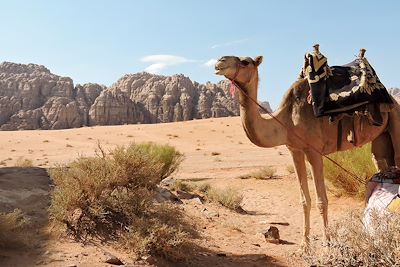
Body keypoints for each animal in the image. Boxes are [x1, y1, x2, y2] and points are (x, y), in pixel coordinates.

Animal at [216, 55, 400, 249]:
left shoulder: (314, 150)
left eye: (245, 62)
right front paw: (304, 244)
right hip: (382, 135)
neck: (286, 121)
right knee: (381, 162)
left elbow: (322, 200)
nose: (219, 62)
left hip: (396, 119)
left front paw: (327, 242)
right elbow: (304, 200)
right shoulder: (294, 150)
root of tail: (392, 100)